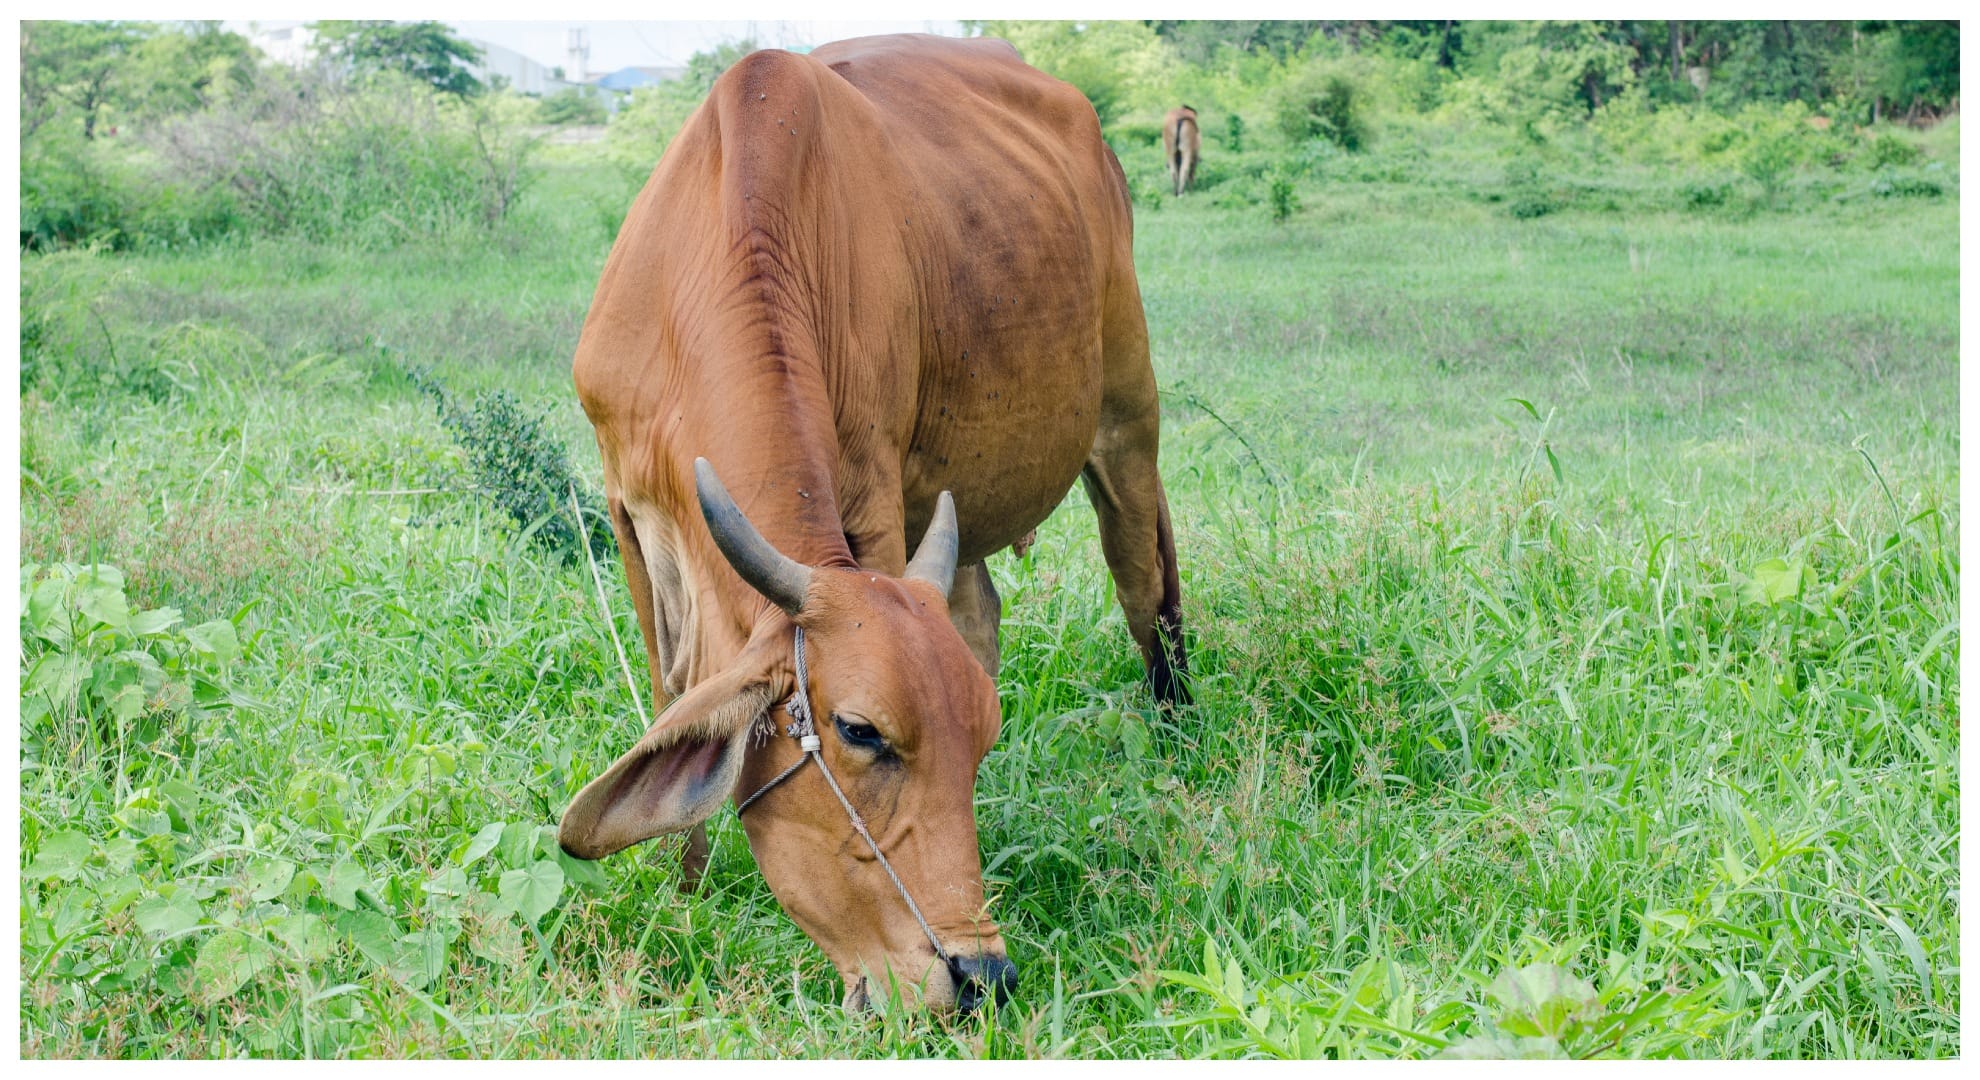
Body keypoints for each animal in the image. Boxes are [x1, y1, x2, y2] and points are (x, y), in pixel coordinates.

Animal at [556, 34, 1190, 1013]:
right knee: (982, 610)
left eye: (981, 741)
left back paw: (1176, 735)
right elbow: (674, 694)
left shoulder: (877, 500)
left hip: (1126, 414)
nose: (979, 977)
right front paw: (684, 891)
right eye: (860, 733)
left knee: (1143, 583)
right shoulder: (628, 510)